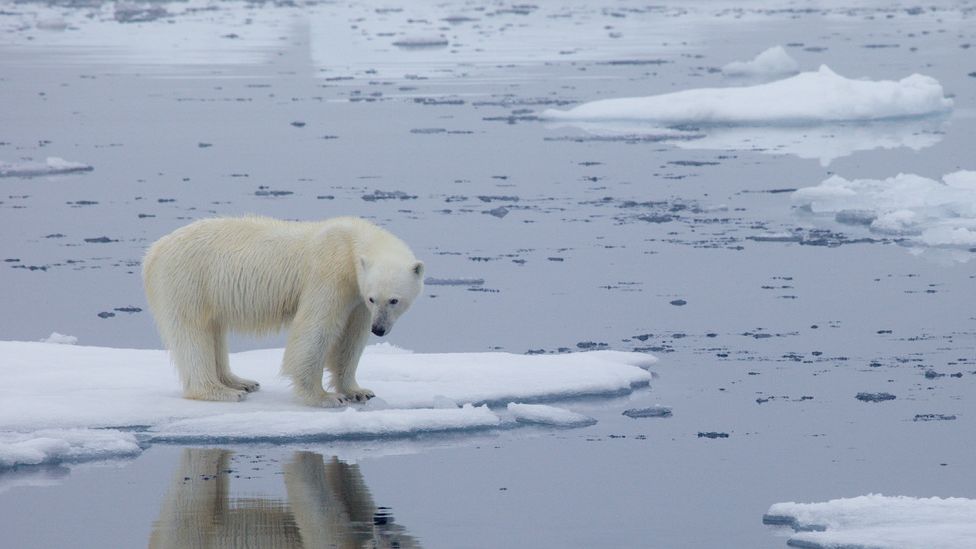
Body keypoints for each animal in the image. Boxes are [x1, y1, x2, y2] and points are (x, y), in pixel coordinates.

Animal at [144, 216, 424, 404]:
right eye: (374, 298)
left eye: (394, 300)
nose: (379, 329)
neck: (349, 243)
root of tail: (154, 251)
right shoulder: (330, 275)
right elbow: (316, 328)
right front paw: (325, 397)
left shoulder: (355, 296)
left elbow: (352, 338)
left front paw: (358, 391)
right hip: (188, 280)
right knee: (192, 332)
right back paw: (220, 391)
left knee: (214, 331)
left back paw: (241, 382)